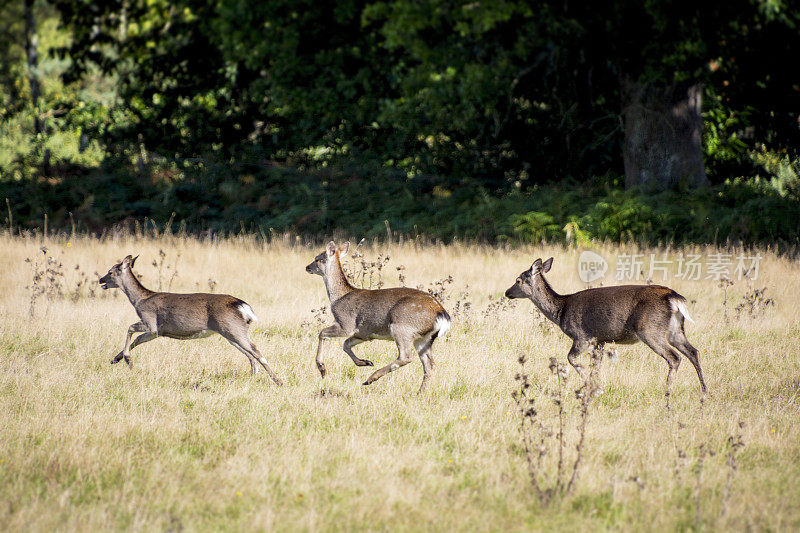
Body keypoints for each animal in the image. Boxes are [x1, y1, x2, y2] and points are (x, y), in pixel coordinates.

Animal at [99, 255, 282, 384]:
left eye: (110, 272)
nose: (101, 279)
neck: (139, 300)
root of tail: (243, 307)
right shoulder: (156, 332)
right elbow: (137, 341)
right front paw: (117, 359)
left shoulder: (150, 322)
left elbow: (130, 328)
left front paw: (127, 360)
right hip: (231, 332)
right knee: (250, 354)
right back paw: (253, 376)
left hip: (232, 328)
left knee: (256, 351)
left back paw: (278, 380)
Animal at [306, 241, 450, 390]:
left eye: (317, 259)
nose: (307, 267)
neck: (338, 298)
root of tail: (442, 314)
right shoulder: (363, 333)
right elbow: (345, 345)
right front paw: (365, 362)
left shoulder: (346, 323)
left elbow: (322, 333)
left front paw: (322, 368)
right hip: (424, 338)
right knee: (429, 365)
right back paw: (419, 392)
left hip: (402, 327)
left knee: (406, 357)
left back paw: (371, 378)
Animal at [506, 256, 708, 404]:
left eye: (518, 280)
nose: (507, 292)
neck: (561, 311)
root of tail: (674, 297)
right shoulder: (600, 340)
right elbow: (596, 366)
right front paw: (596, 387)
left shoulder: (583, 336)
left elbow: (572, 359)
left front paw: (592, 388)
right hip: (675, 330)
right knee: (693, 352)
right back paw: (705, 392)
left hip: (650, 330)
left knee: (675, 357)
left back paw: (667, 394)